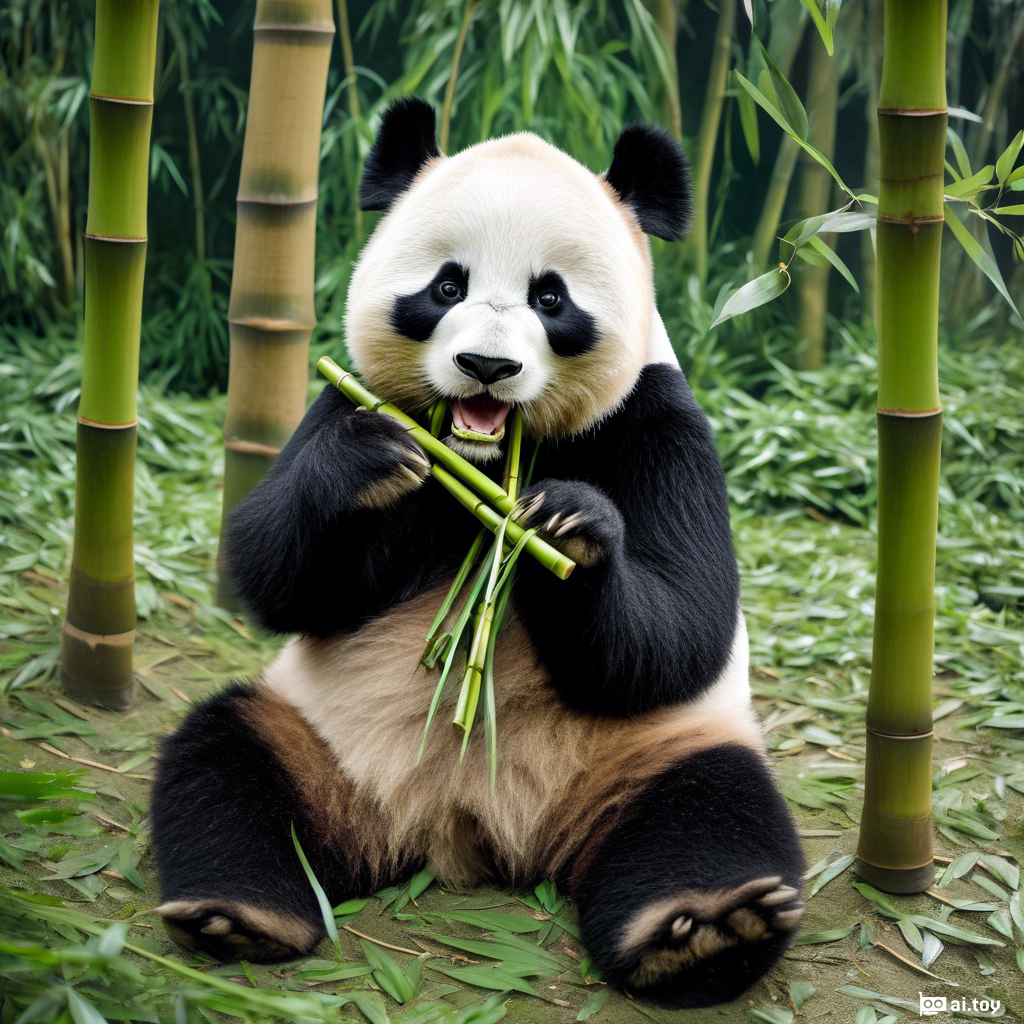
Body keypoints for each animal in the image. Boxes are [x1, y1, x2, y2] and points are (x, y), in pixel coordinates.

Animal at [151, 97, 804, 1009]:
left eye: (551, 297)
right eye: (447, 286)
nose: (486, 366)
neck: (487, 458)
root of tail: (458, 828)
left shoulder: (658, 417)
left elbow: (686, 623)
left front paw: (568, 528)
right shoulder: (355, 393)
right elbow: (275, 572)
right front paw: (363, 466)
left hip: (647, 752)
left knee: (712, 808)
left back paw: (705, 930)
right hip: (319, 737)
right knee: (224, 762)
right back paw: (238, 912)